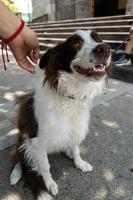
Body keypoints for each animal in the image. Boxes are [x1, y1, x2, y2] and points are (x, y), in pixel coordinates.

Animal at [9, 30, 111, 200]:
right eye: (76, 43)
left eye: (97, 38)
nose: (105, 48)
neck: (69, 96)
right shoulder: (36, 141)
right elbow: (45, 166)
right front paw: (49, 184)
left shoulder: (75, 128)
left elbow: (76, 148)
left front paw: (79, 162)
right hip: (22, 138)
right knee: (20, 158)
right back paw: (16, 173)